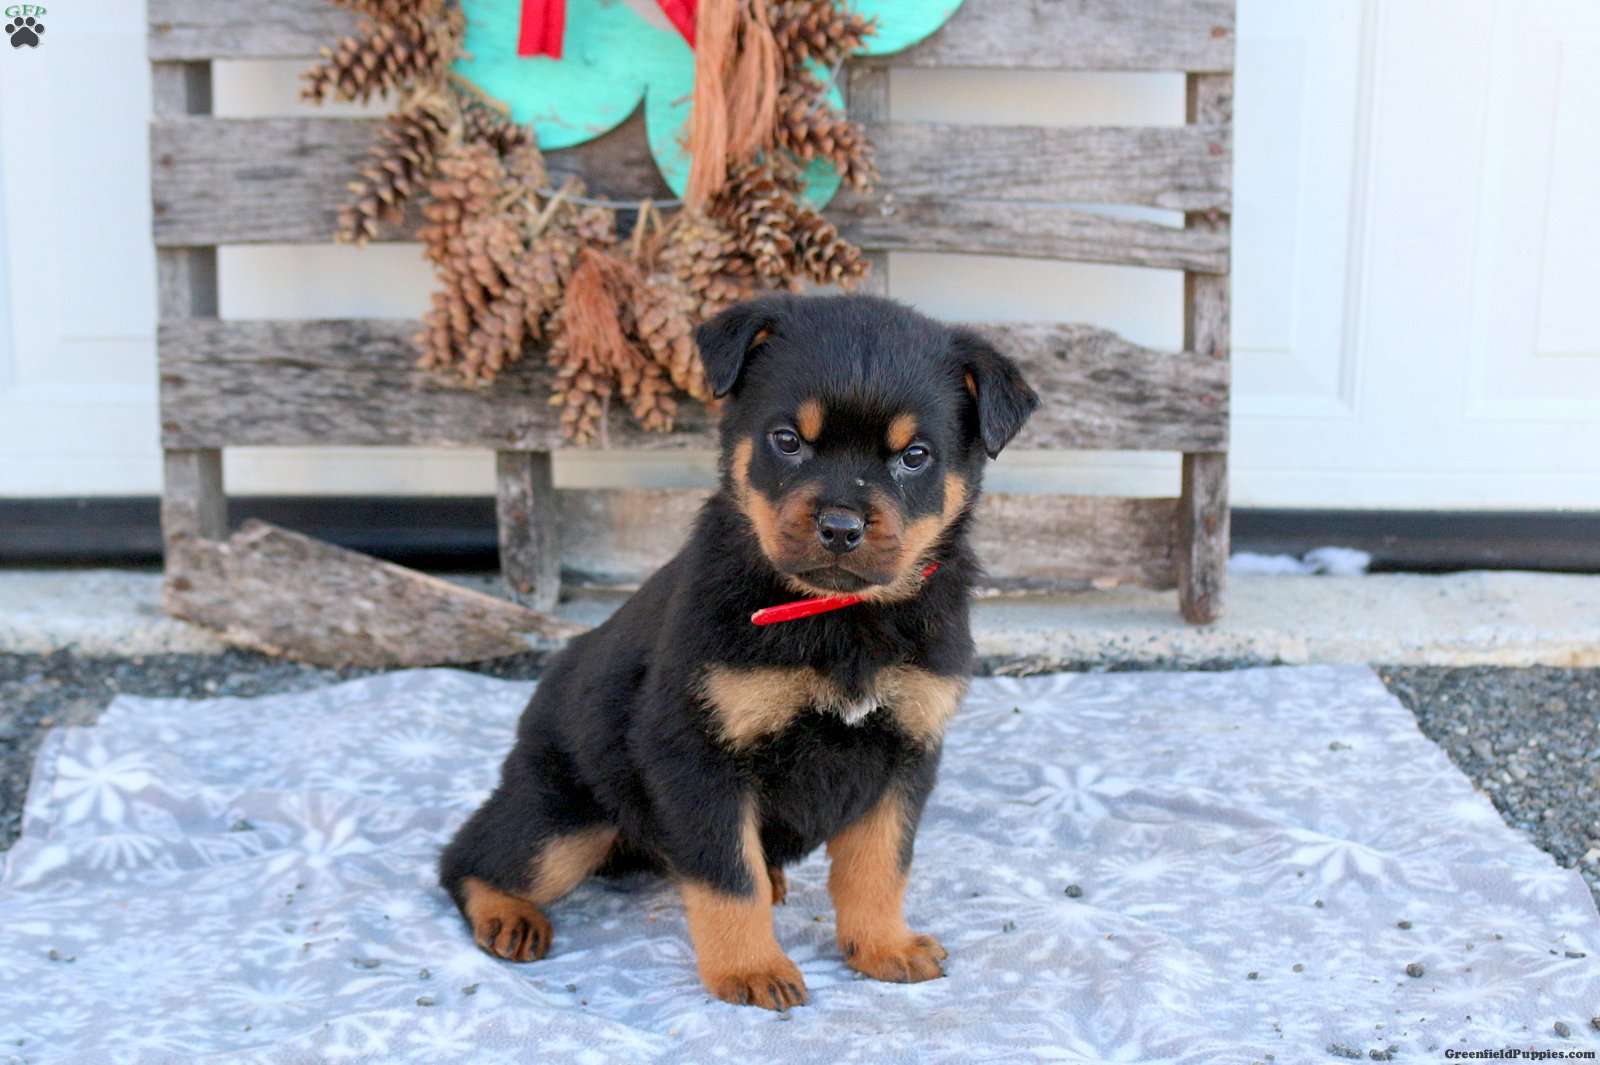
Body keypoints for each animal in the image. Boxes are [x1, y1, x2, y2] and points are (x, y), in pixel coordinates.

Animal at [439, 293, 1038, 1009]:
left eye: (915, 456)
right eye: (788, 440)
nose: (840, 527)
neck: (836, 615)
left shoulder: (905, 752)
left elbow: (879, 864)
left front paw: (883, 946)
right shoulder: (697, 753)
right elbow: (729, 876)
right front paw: (751, 969)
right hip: (563, 819)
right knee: (471, 857)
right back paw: (508, 915)